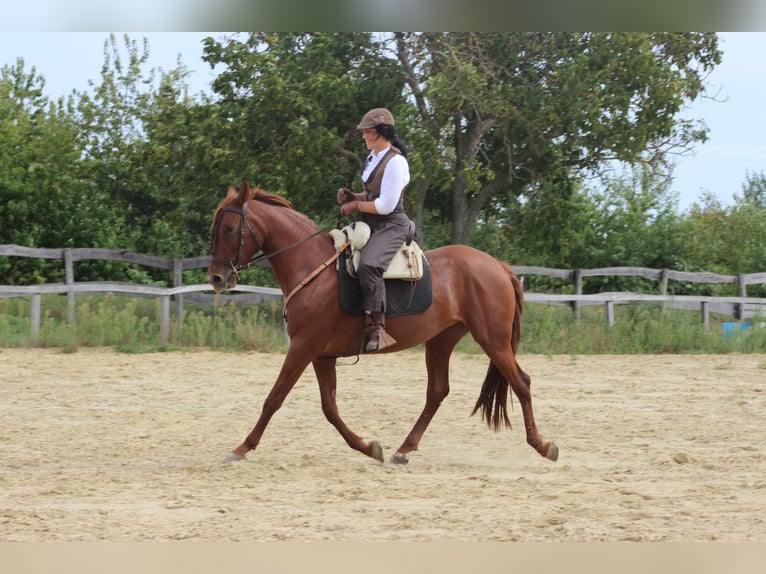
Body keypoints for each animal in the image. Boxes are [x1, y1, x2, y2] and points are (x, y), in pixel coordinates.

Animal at [207, 182, 560, 466]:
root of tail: (497, 265)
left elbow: (274, 398)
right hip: (442, 339)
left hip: (493, 340)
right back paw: (403, 449)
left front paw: (241, 448)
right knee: (437, 391)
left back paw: (543, 446)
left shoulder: (303, 347)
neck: (312, 266)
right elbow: (329, 408)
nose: (217, 278)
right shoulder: (321, 355)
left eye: (229, 228)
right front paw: (369, 447)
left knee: (522, 382)